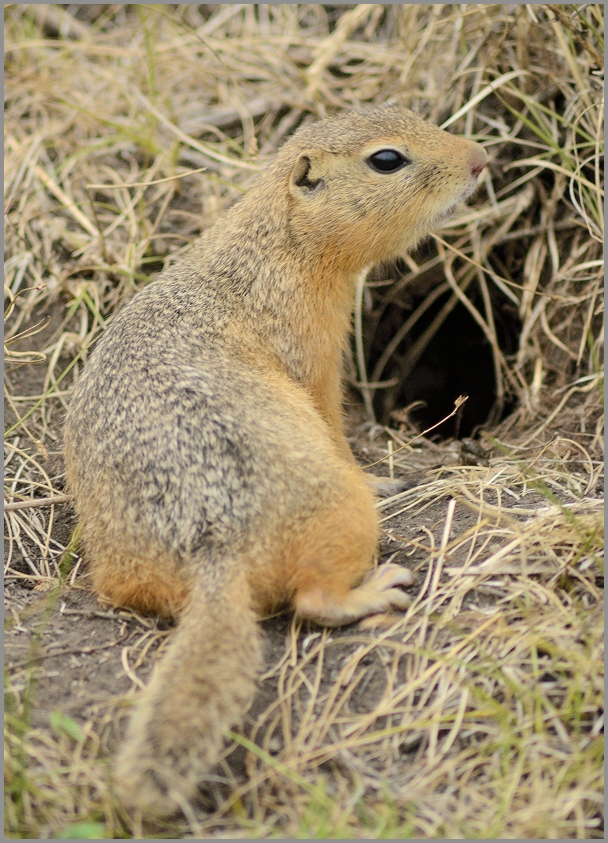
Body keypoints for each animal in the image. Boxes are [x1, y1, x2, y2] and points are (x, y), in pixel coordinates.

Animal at [64, 104, 486, 816]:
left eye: (413, 113)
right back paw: (375, 590)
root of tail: (212, 548)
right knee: (312, 601)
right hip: (342, 514)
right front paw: (385, 473)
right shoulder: (315, 355)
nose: (481, 157)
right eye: (387, 159)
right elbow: (334, 423)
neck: (275, 244)